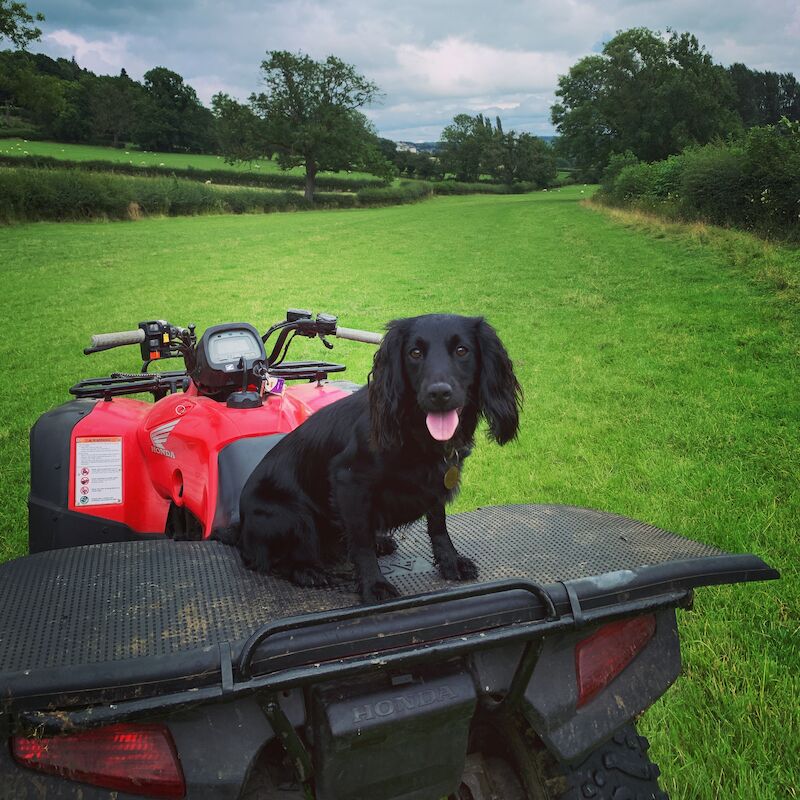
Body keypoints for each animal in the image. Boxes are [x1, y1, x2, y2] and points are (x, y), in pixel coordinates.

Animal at [222, 316, 520, 604]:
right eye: (414, 353)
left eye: (461, 350)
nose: (438, 393)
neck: (415, 432)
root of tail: (241, 529)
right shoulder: (349, 483)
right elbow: (361, 541)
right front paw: (373, 584)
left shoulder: (437, 481)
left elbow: (438, 526)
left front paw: (450, 562)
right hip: (294, 517)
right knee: (268, 560)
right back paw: (308, 571)